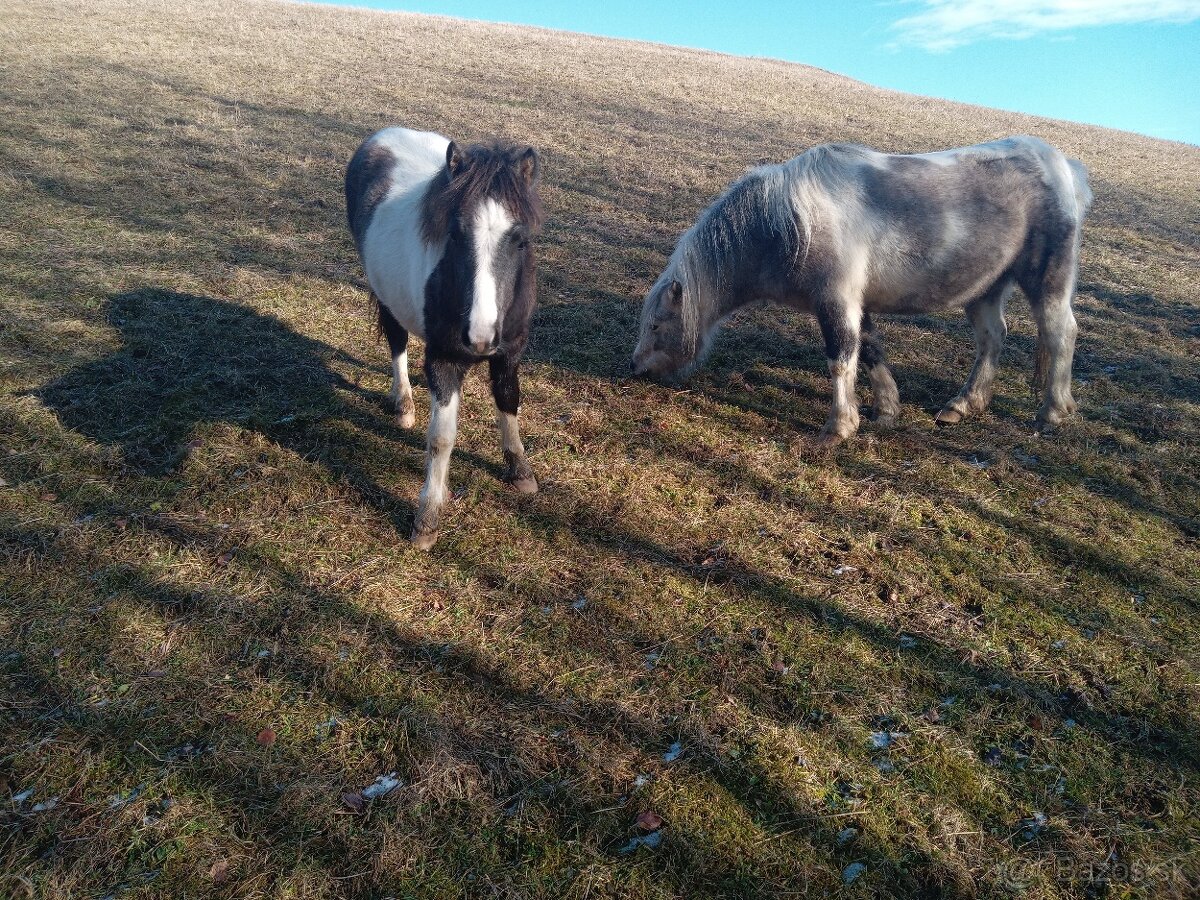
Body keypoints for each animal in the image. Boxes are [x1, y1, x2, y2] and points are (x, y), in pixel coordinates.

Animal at [348, 127, 544, 549]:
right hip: (388, 300)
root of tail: (384, 134)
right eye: (454, 234)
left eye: (520, 239)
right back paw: (404, 404)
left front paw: (520, 470)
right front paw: (427, 520)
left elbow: (509, 400)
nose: (481, 337)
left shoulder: (510, 351)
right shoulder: (444, 359)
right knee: (397, 345)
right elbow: (441, 438)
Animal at [633, 135, 1094, 446]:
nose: (635, 369)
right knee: (992, 339)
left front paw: (838, 428)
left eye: (656, 326)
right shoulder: (857, 304)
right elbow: (870, 350)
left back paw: (1052, 412)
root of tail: (1062, 166)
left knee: (1060, 333)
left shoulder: (836, 303)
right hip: (985, 289)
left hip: (1047, 282)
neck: (791, 222)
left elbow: (840, 359)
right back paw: (963, 405)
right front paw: (886, 410)